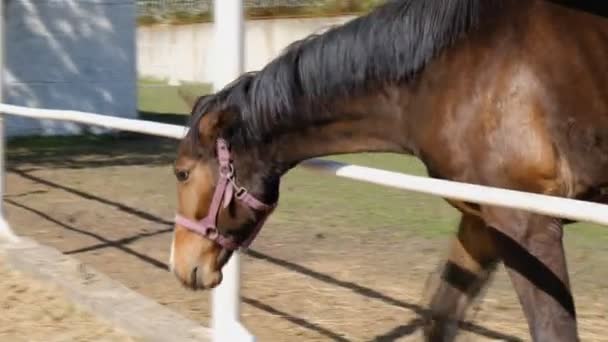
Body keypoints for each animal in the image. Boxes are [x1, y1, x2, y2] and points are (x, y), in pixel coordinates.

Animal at [169, 1, 608, 340]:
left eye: (182, 173)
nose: (181, 265)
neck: (455, 73)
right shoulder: (482, 223)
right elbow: (439, 317)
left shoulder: (527, 224)